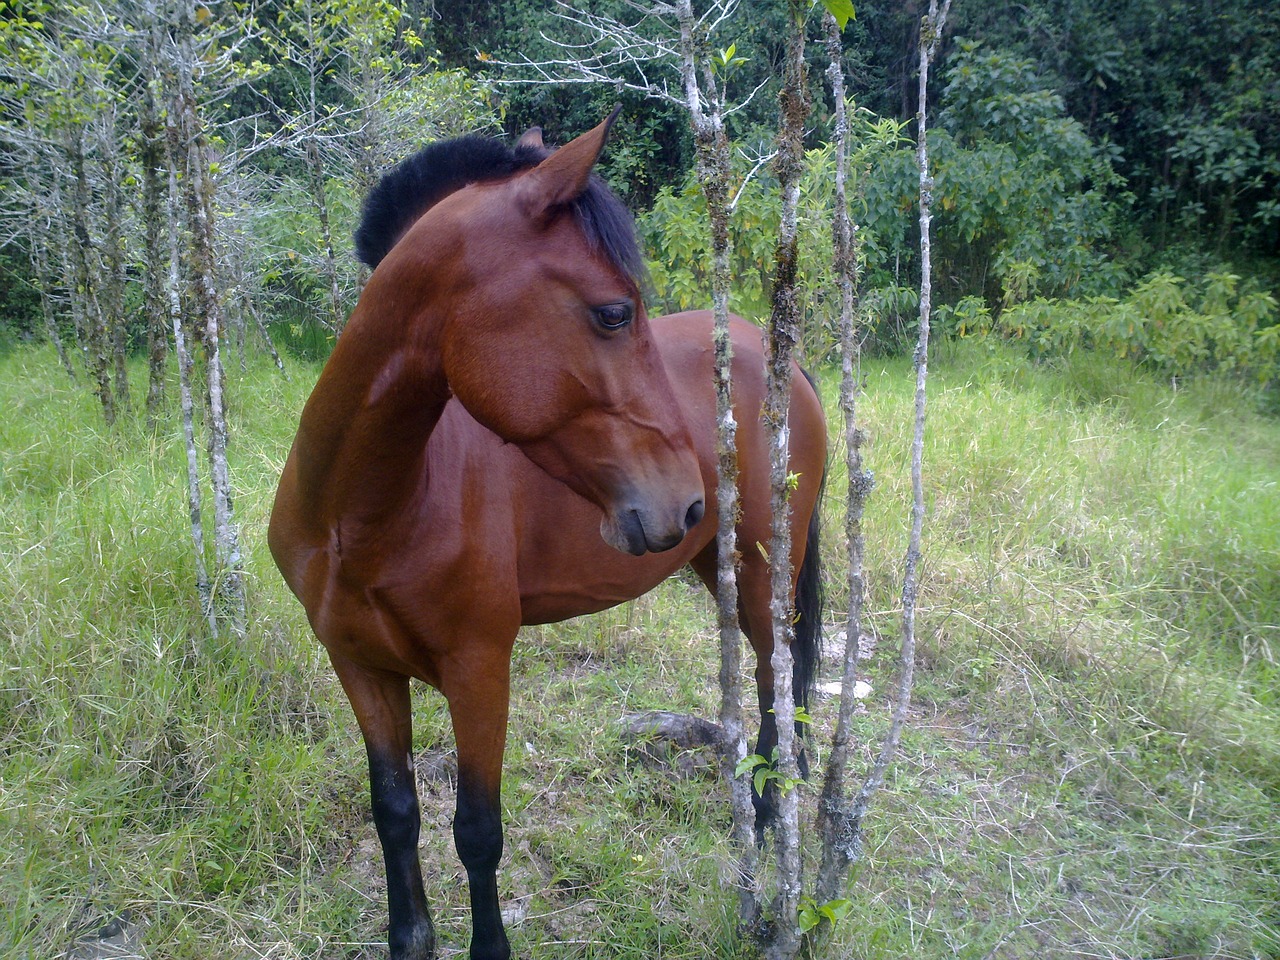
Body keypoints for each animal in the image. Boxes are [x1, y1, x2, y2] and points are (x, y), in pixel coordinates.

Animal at [270, 112, 829, 960]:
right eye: (613, 313)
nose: (683, 502)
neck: (361, 514)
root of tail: (782, 359)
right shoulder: (359, 666)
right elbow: (395, 813)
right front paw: (411, 938)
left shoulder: (479, 671)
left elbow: (477, 831)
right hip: (718, 566)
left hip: (765, 574)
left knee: (777, 697)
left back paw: (767, 844)